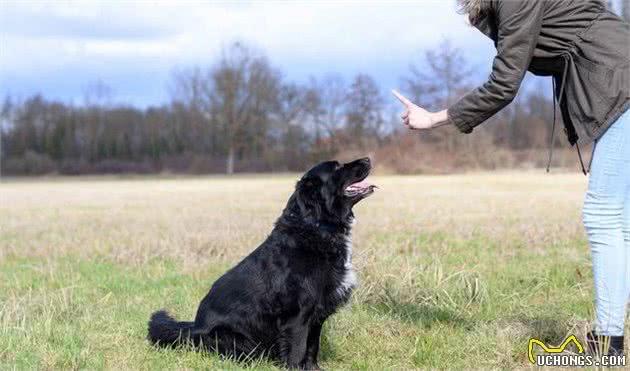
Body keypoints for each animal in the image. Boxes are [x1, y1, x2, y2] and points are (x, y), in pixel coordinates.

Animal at [148, 158, 376, 370]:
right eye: (337, 167)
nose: (367, 159)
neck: (316, 227)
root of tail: (194, 327)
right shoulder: (297, 315)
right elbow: (297, 350)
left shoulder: (317, 313)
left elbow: (312, 348)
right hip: (234, 339)